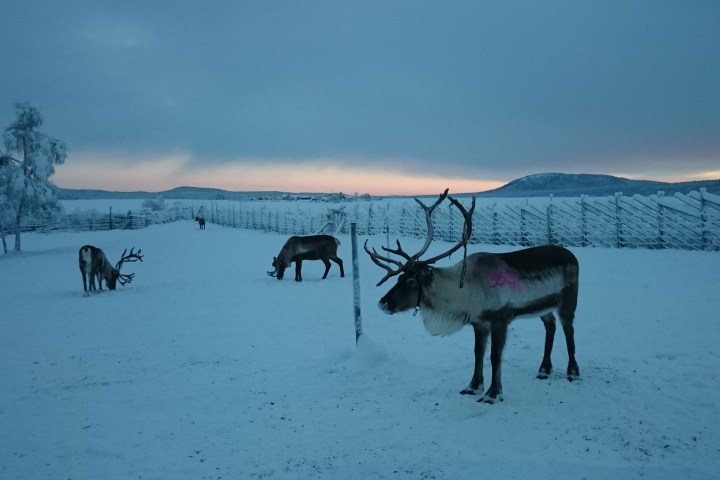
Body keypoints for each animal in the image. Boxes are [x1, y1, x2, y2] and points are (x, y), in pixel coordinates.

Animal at [364, 189, 580, 403]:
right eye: (400, 277)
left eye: (411, 282)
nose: (383, 303)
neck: (465, 291)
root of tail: (572, 255)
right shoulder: (479, 322)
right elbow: (478, 353)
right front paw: (473, 387)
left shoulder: (500, 319)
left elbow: (495, 357)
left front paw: (493, 394)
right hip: (544, 306)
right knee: (550, 326)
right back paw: (544, 369)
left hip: (568, 299)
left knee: (568, 329)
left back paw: (573, 372)